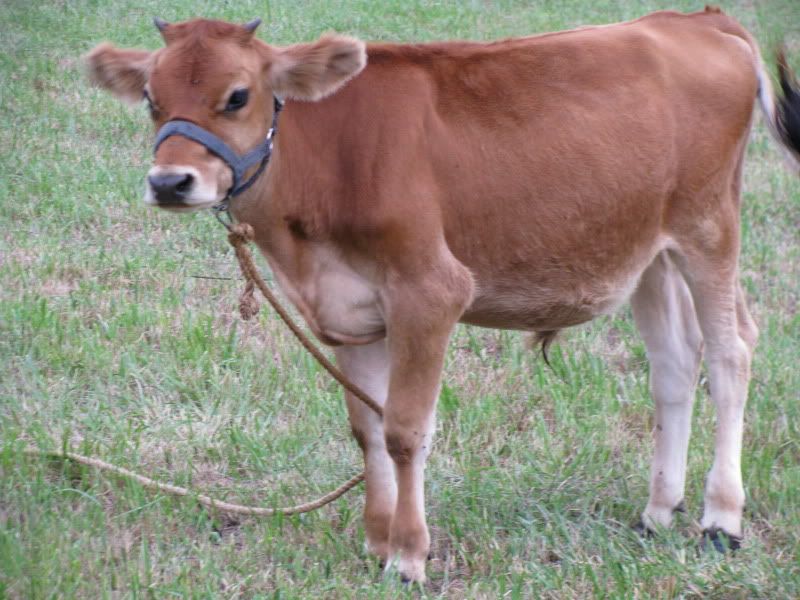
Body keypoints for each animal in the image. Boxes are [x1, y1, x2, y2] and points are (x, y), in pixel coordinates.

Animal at [86, 7, 800, 583]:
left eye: (238, 96)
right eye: (150, 97)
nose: (171, 182)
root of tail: (696, 18)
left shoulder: (429, 294)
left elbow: (405, 431)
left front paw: (408, 556)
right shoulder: (349, 311)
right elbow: (366, 430)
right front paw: (376, 543)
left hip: (709, 228)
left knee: (731, 353)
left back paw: (720, 519)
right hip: (647, 250)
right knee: (674, 364)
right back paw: (657, 511)